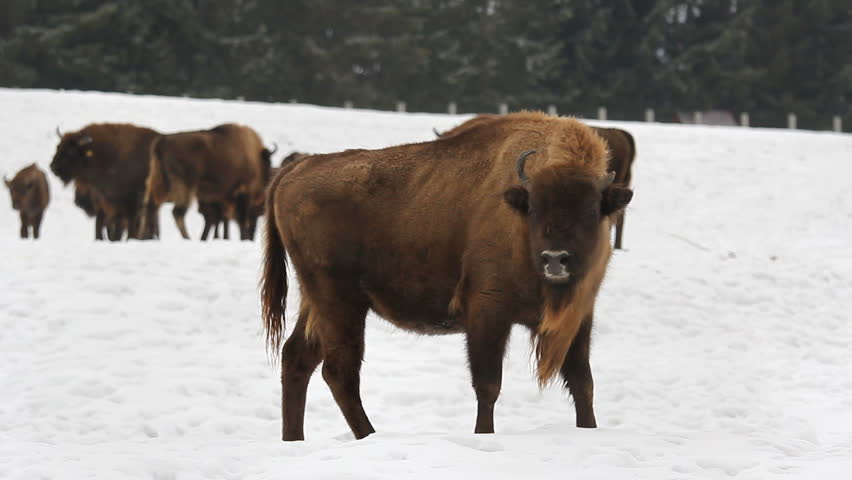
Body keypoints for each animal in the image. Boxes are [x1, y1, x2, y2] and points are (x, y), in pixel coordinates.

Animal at [261, 111, 633, 440]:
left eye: (591, 210)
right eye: (534, 207)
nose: (555, 259)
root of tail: (299, 167)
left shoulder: (579, 317)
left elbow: (582, 383)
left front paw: (588, 430)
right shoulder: (487, 313)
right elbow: (488, 385)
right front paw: (484, 436)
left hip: (316, 302)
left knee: (297, 359)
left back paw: (294, 440)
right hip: (341, 302)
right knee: (339, 372)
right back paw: (368, 436)